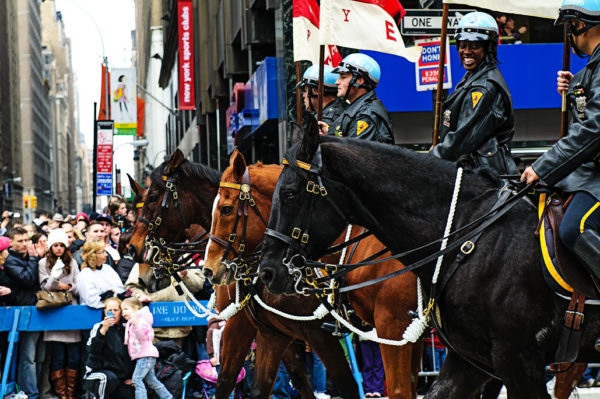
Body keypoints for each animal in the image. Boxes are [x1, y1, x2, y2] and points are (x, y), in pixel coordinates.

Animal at [205, 151, 422, 399]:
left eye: (226, 209)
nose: (209, 268)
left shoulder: (318, 333)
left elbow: (347, 385)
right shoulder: (272, 334)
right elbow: (259, 387)